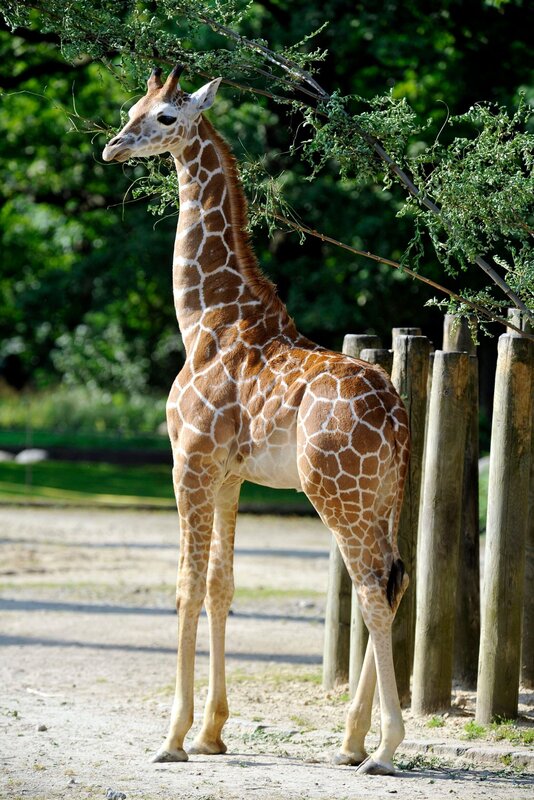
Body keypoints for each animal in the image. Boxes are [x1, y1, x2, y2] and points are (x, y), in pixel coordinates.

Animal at [102, 65, 410, 776]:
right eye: (131, 107)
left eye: (165, 117)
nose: (114, 147)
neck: (204, 320)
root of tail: (399, 420)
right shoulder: (230, 475)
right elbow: (221, 585)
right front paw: (213, 733)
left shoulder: (188, 461)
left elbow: (186, 587)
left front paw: (172, 738)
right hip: (384, 497)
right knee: (393, 581)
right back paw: (351, 741)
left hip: (337, 493)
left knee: (372, 591)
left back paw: (383, 748)